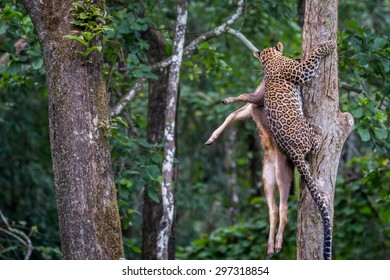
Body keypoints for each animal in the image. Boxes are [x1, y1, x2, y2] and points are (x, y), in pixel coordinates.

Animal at [254, 40, 336, 260]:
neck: (270, 61)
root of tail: (292, 151)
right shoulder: (300, 73)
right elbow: (311, 60)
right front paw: (328, 46)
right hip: (305, 127)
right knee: (314, 143)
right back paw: (321, 135)